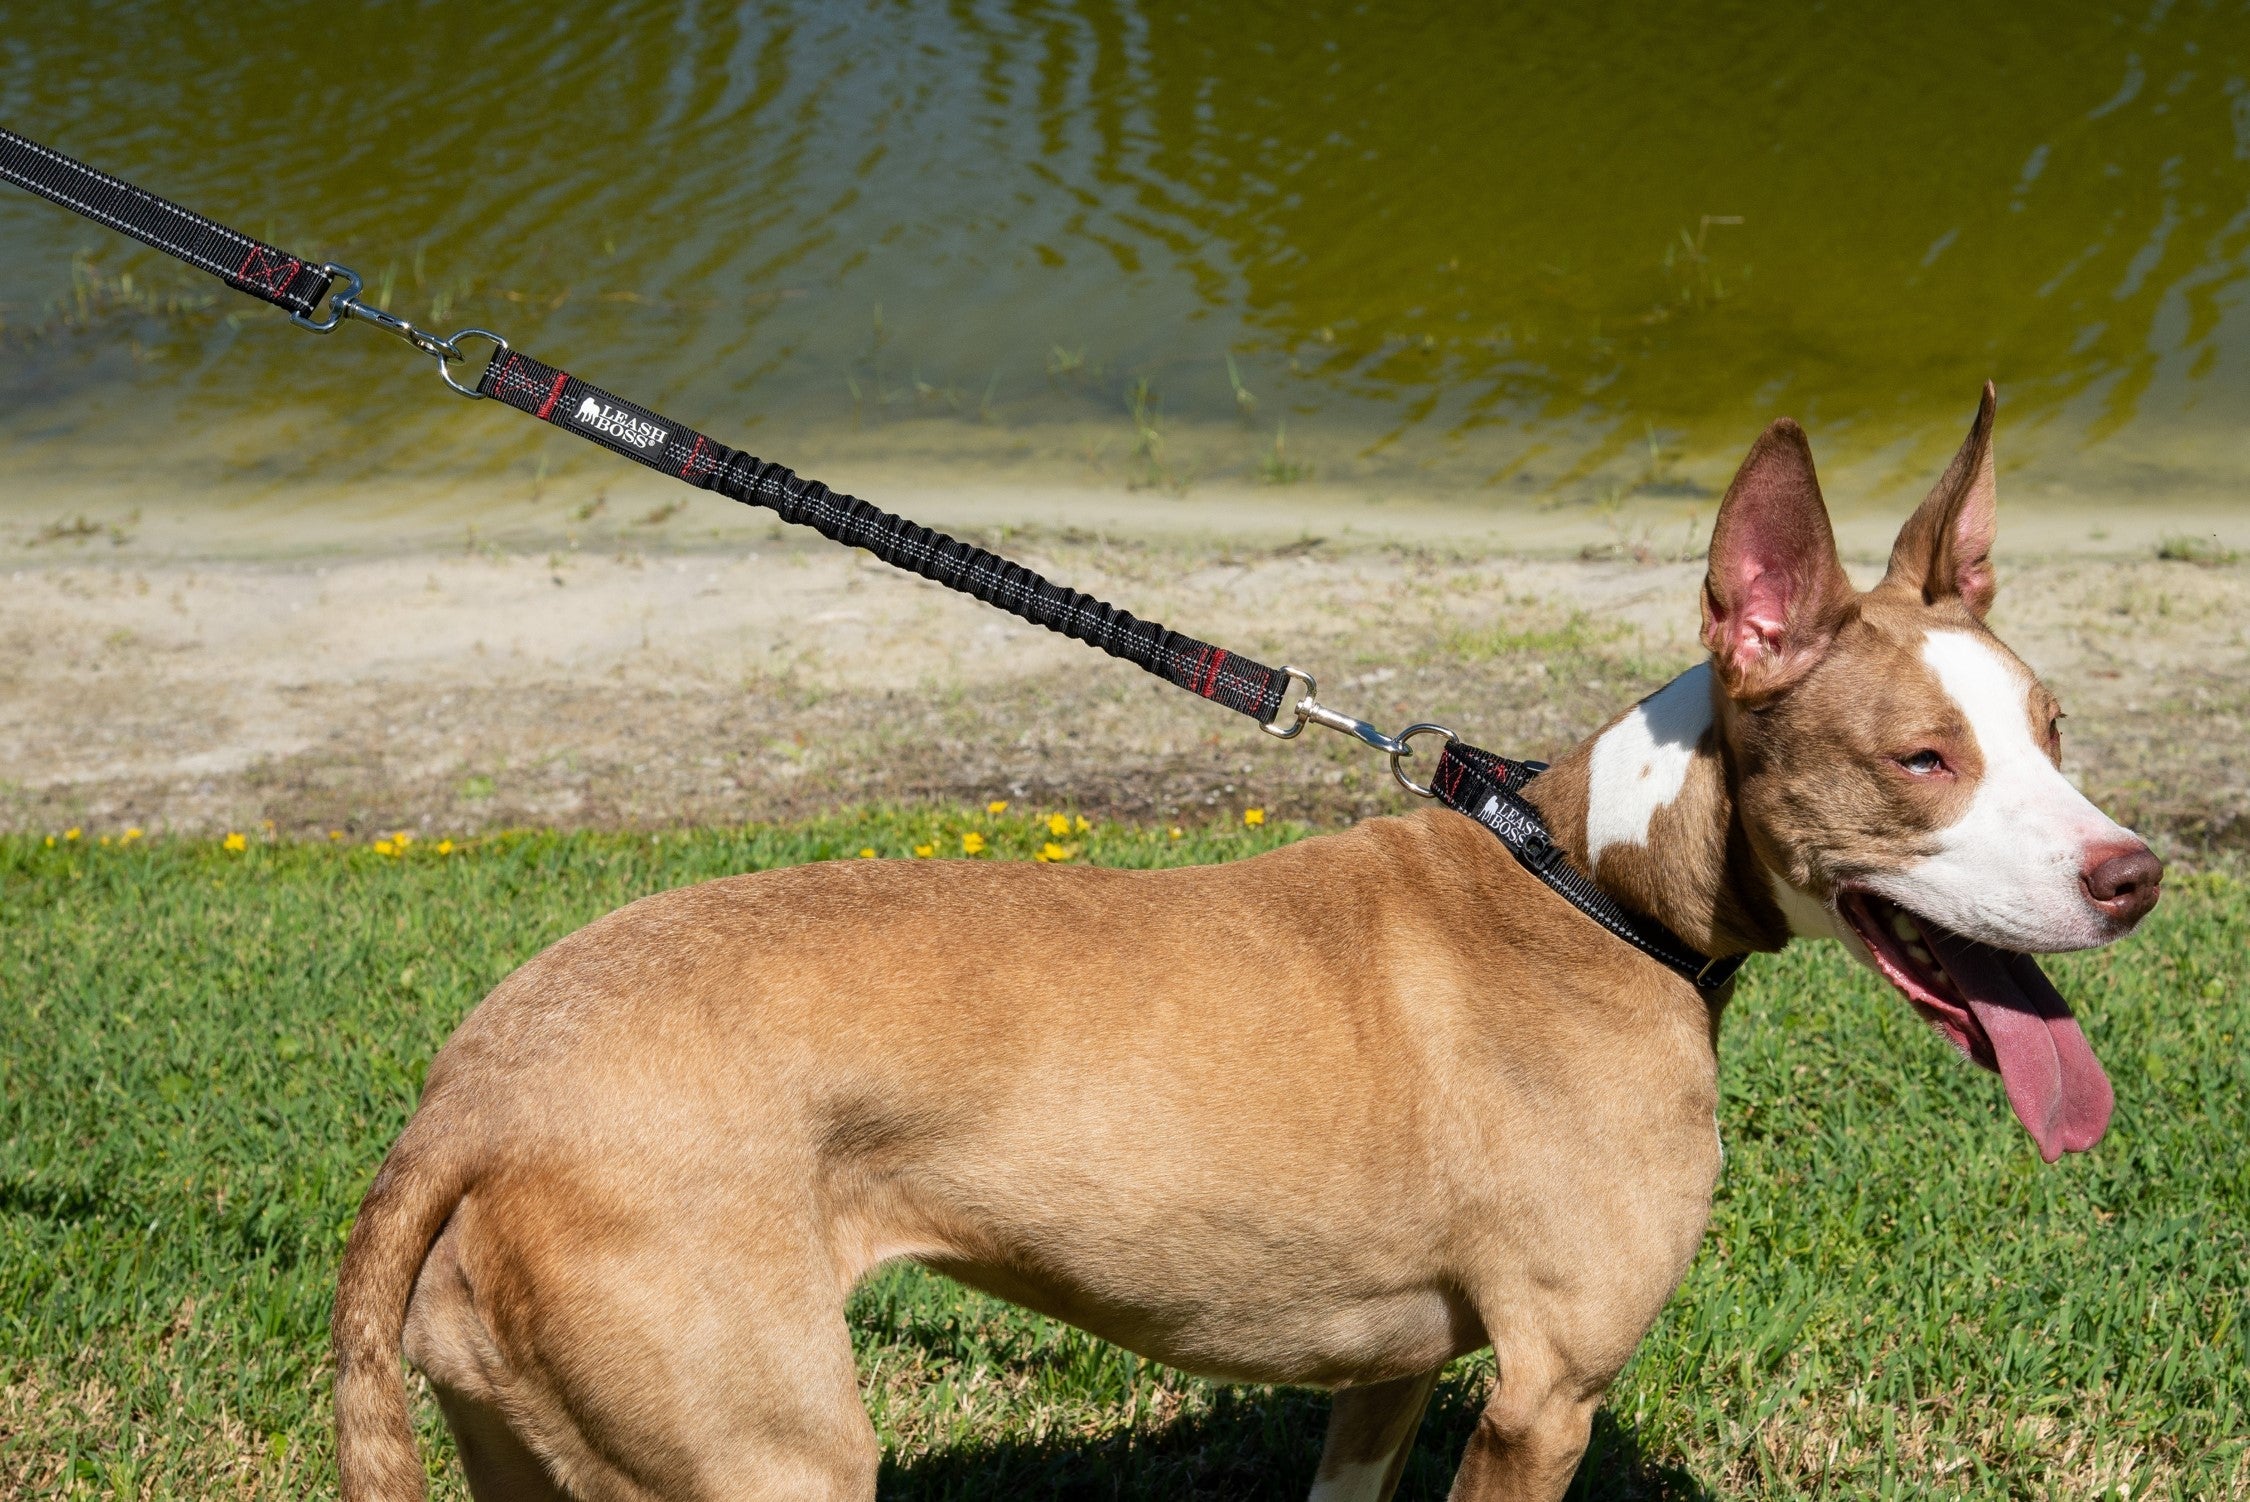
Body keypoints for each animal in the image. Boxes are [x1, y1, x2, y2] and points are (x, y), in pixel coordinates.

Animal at [333, 386, 2160, 1502]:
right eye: (1920, 759)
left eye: (2053, 730)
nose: (2135, 874)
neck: (1595, 886)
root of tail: (468, 1097)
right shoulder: (1548, 1386)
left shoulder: (1390, 1366)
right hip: (766, 1452)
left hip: (537, 1427)